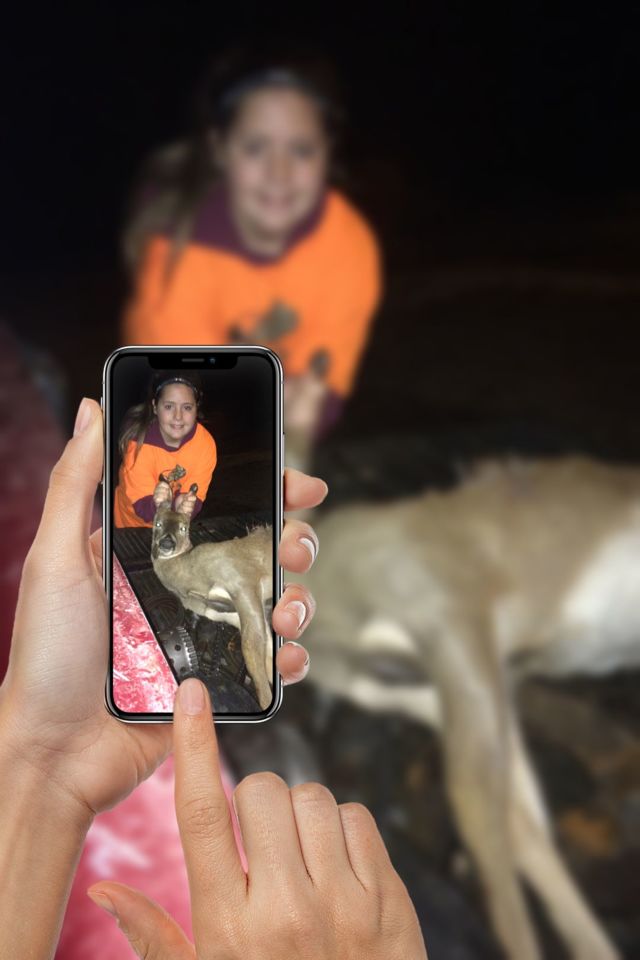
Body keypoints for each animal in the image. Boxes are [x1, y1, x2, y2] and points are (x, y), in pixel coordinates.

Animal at [150, 490, 274, 710]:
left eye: (183, 527)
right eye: (157, 523)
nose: (166, 544)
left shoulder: (242, 580)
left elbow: (251, 651)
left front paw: (266, 701)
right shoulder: (227, 614)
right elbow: (267, 654)